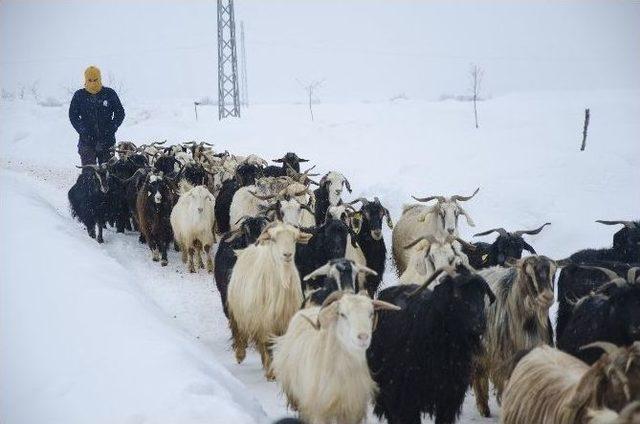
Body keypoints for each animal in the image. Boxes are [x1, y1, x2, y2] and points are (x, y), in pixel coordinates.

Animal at [228, 224, 312, 380]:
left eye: (295, 239)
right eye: (274, 239)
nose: (287, 254)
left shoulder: (285, 321)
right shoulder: (264, 323)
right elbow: (267, 346)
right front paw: (271, 373)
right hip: (236, 311)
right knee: (239, 332)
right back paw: (240, 356)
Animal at [472, 255, 556, 418]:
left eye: (553, 274)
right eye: (528, 274)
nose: (547, 297)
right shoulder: (505, 358)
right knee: (479, 374)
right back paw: (483, 408)